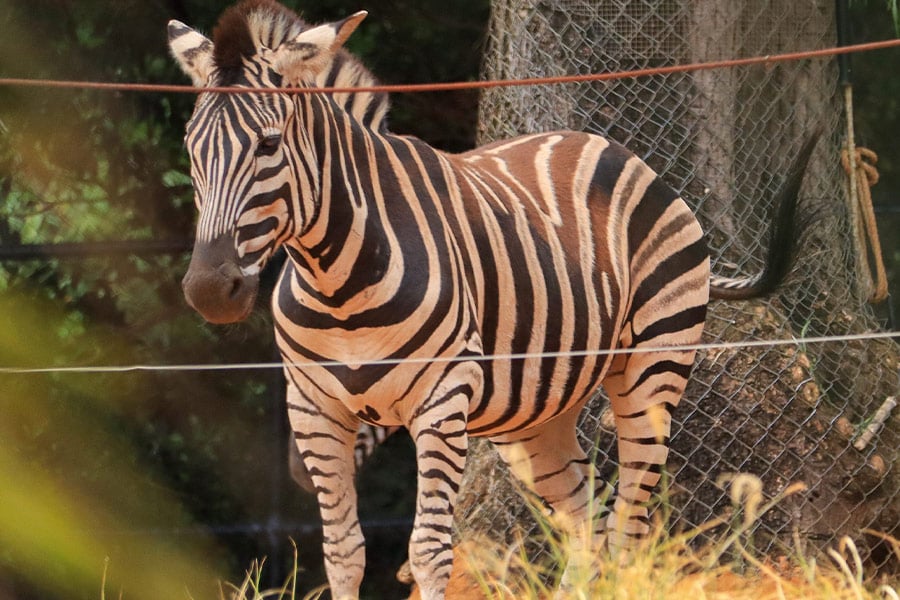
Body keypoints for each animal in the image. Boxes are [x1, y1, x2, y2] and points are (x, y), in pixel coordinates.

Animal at [168, 1, 816, 598]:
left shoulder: (442, 398)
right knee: (588, 521)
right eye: (190, 147)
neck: (337, 282)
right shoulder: (314, 408)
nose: (209, 291)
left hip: (652, 371)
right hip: (534, 416)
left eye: (269, 144)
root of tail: (612, 147)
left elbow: (429, 551)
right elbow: (344, 552)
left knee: (628, 525)